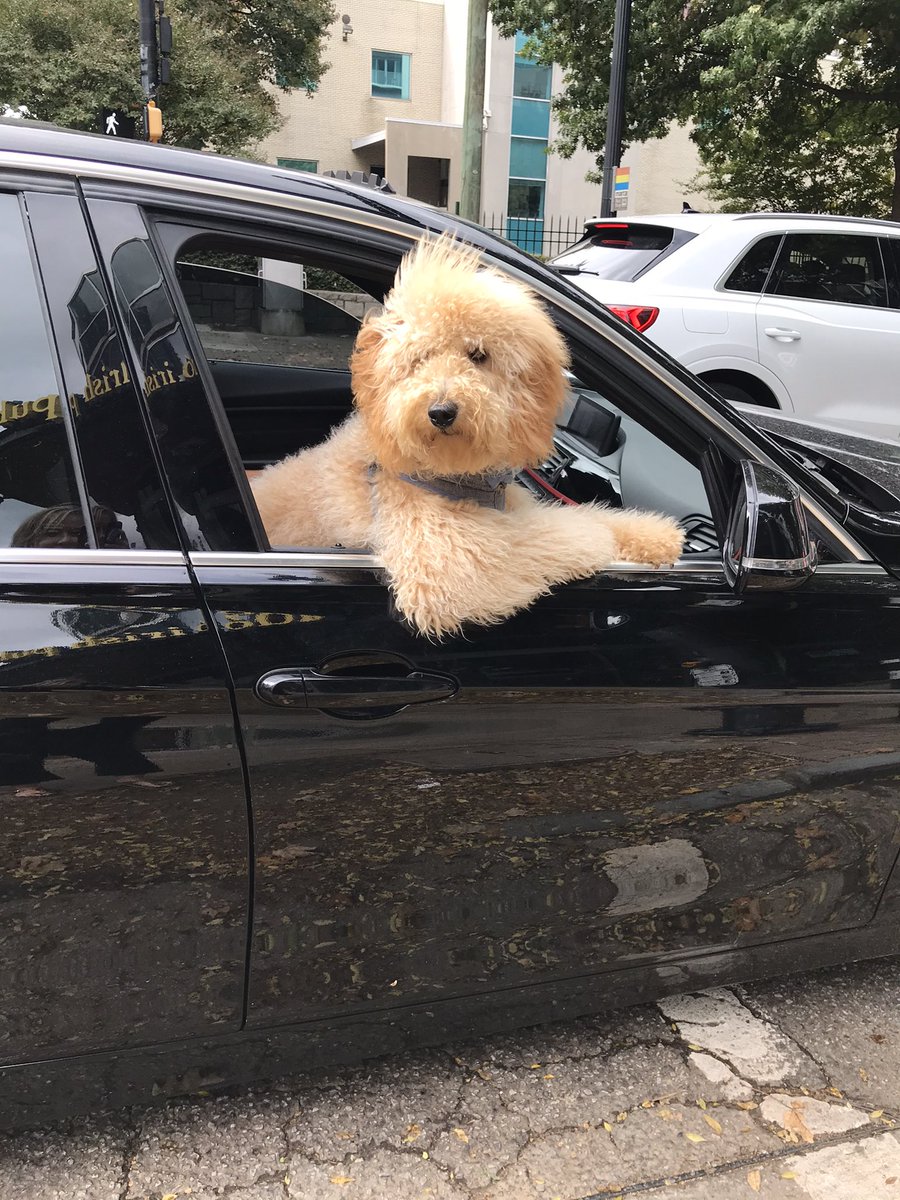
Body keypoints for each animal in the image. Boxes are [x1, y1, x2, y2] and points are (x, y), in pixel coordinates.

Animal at [250, 238, 686, 643]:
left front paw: (653, 535)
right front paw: (597, 539)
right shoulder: (446, 566)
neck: (449, 472)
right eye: (419, 359)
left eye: (478, 355)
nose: (441, 411)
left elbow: (591, 515)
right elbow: (559, 533)